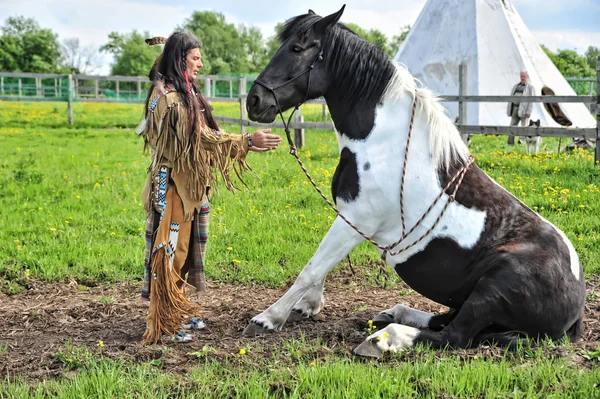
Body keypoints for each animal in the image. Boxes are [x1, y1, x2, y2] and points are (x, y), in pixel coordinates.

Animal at [241, 5, 584, 360]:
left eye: (297, 48)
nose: (255, 101)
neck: (380, 141)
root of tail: (577, 306)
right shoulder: (348, 218)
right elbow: (320, 266)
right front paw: (308, 306)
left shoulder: (357, 222)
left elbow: (312, 267)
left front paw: (269, 318)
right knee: (444, 319)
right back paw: (394, 314)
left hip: (493, 286)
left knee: (455, 335)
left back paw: (384, 338)